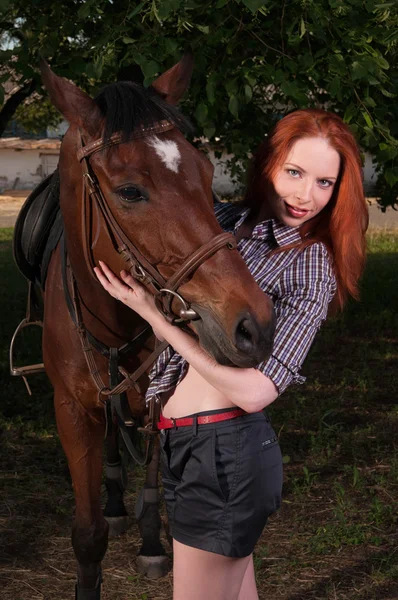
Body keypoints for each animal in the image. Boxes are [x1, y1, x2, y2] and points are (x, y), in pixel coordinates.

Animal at [14, 55, 276, 596]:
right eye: (130, 191)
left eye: (207, 171)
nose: (255, 326)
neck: (113, 321)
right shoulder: (71, 411)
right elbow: (88, 532)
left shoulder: (162, 396)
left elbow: (156, 488)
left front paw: (153, 544)